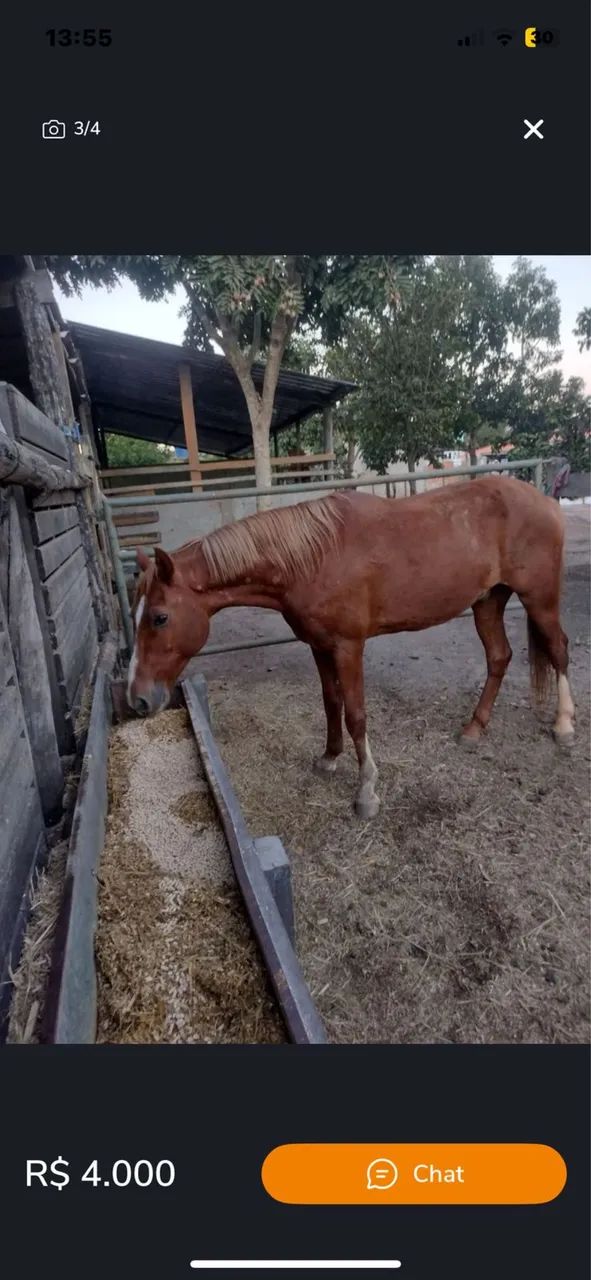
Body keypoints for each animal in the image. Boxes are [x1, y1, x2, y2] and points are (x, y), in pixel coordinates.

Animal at [127, 475, 575, 819]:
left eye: (159, 617)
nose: (138, 699)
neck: (312, 558)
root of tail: (544, 501)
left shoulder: (348, 646)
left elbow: (356, 714)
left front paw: (366, 792)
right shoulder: (319, 646)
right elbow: (331, 703)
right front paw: (329, 758)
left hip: (539, 598)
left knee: (558, 650)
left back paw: (564, 726)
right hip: (487, 602)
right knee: (499, 657)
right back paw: (474, 729)